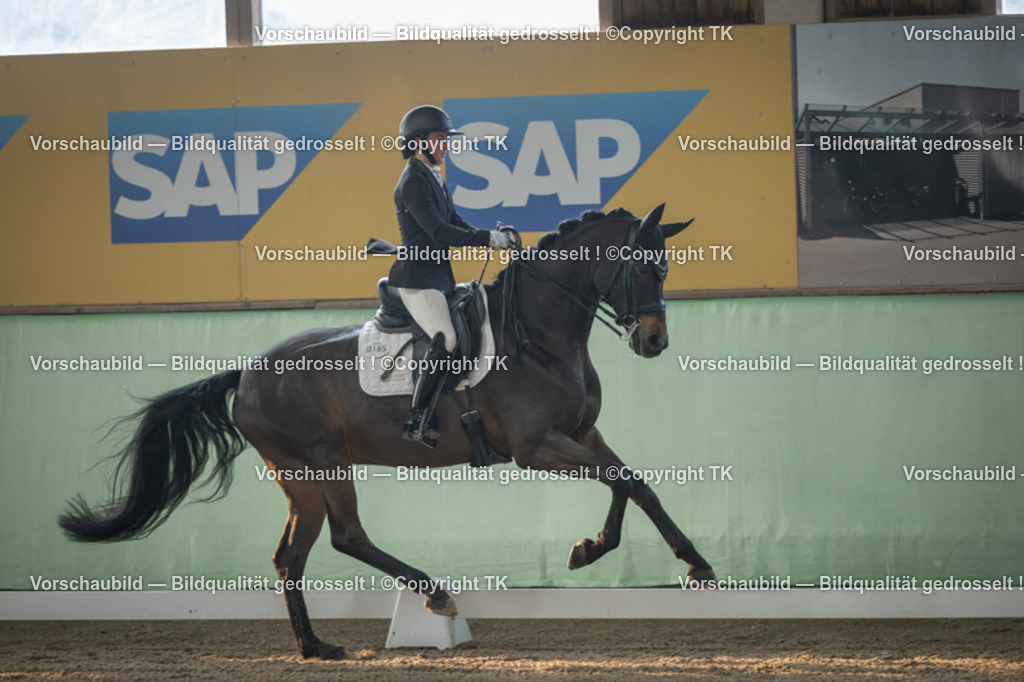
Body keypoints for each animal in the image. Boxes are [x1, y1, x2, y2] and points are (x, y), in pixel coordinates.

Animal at [58, 204, 717, 659]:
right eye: (643, 266)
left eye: (666, 267)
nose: (653, 341)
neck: (540, 337)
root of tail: (246, 372)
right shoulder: (536, 448)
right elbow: (626, 482)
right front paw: (660, 560)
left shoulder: (583, 434)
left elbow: (633, 484)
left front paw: (622, 552)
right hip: (322, 460)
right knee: (346, 536)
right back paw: (431, 592)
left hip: (299, 477)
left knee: (290, 555)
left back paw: (316, 648)